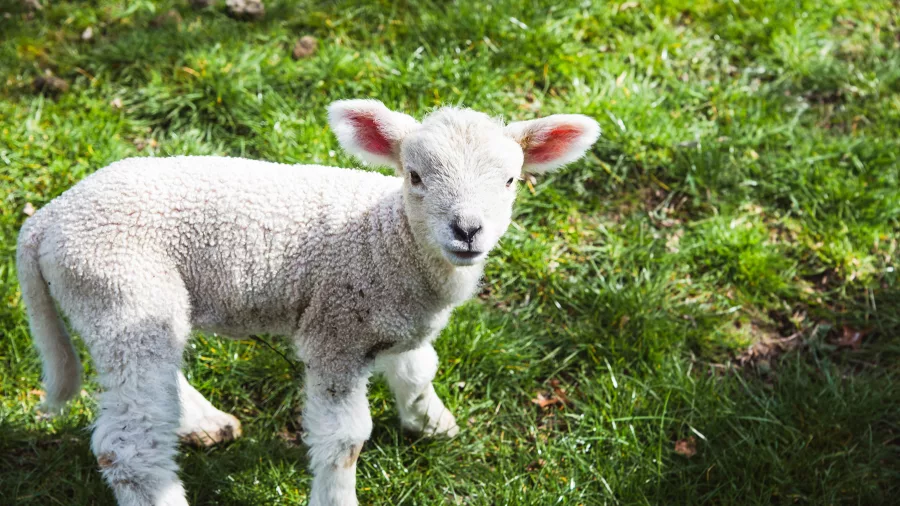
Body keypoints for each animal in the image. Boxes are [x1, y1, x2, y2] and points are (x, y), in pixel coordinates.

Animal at [16, 99, 600, 506]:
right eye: (414, 176)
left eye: (511, 180)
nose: (468, 230)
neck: (387, 240)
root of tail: (47, 219)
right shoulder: (336, 331)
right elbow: (345, 440)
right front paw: (338, 496)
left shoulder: (394, 319)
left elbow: (417, 371)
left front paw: (431, 423)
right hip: (120, 284)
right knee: (128, 444)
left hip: (131, 299)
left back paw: (204, 421)